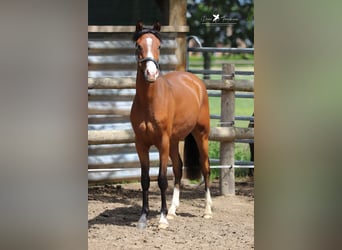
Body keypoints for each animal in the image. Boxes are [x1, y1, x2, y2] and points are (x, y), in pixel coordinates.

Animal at [130, 21, 212, 229]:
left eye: (159, 46)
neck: (150, 102)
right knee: (178, 167)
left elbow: (161, 179)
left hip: (201, 135)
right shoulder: (141, 144)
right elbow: (145, 179)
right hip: (175, 141)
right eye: (138, 46)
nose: (151, 73)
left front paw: (162, 219)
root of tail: (195, 81)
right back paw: (174, 210)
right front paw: (143, 217)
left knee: (205, 167)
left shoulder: (163, 143)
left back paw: (207, 211)